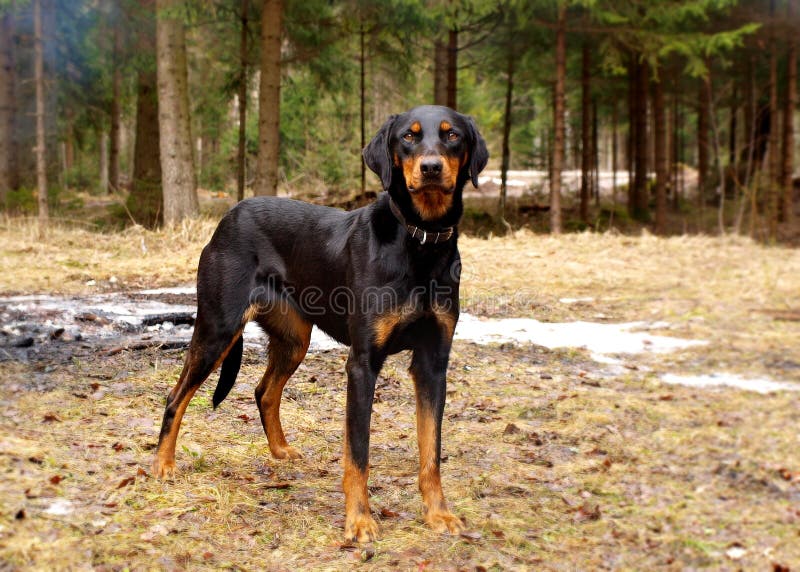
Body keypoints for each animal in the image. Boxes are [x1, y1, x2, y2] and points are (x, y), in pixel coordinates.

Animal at [150, 104, 488, 540]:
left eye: (452, 136)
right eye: (409, 137)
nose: (431, 168)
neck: (421, 240)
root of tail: (227, 218)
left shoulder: (433, 362)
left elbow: (431, 451)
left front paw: (438, 514)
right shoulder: (363, 363)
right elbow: (358, 453)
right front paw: (359, 521)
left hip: (294, 339)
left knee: (264, 391)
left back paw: (280, 450)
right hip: (217, 329)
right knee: (176, 397)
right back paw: (163, 464)